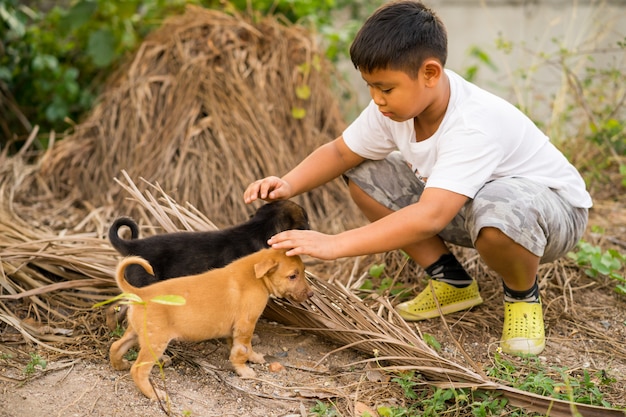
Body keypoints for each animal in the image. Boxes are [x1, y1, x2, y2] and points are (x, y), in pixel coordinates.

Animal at [109, 247, 312, 400]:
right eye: (293, 276)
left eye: (302, 272)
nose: (311, 295)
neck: (256, 277)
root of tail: (140, 293)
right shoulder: (246, 324)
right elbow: (242, 350)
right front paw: (244, 371)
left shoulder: (235, 329)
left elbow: (243, 348)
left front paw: (253, 358)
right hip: (155, 343)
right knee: (138, 371)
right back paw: (154, 394)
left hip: (136, 333)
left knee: (116, 346)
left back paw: (120, 365)